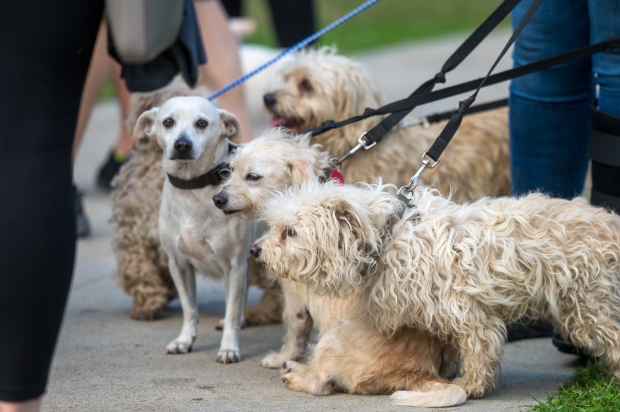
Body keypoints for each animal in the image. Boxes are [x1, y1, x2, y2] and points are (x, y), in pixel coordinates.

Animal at [134, 96, 253, 364]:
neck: (193, 188)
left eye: (201, 123)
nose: (182, 144)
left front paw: (229, 348)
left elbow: (231, 310)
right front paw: (185, 340)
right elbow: (189, 309)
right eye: (168, 122)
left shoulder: (234, 265)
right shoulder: (179, 264)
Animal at [216, 130, 468, 408]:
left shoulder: (295, 299)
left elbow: (294, 332)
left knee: (320, 384)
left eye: (253, 176)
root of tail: (419, 371)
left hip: (332, 337)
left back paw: (295, 372)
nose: (217, 199)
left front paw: (281, 357)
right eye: (231, 171)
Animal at [252, 181, 620, 400]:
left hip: (588, 305)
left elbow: (478, 352)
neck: (387, 238)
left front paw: (470, 386)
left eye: (290, 232)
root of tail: (610, 223)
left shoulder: (470, 314)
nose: (255, 250)